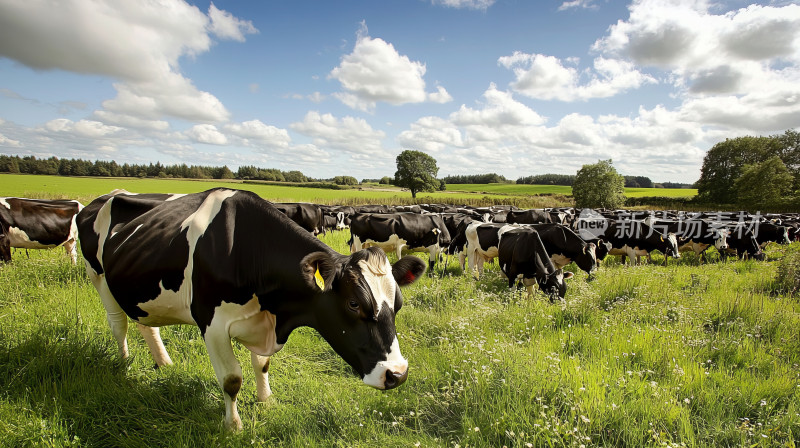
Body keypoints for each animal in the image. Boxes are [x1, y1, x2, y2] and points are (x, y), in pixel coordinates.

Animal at [76, 188, 424, 430]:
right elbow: (232, 379)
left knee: (145, 323)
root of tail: (103, 198)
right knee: (118, 323)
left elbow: (262, 365)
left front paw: (266, 400)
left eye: (398, 304)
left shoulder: (263, 319)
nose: (398, 374)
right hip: (99, 278)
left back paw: (164, 363)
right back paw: (125, 364)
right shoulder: (213, 325)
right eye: (353, 303)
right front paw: (233, 426)